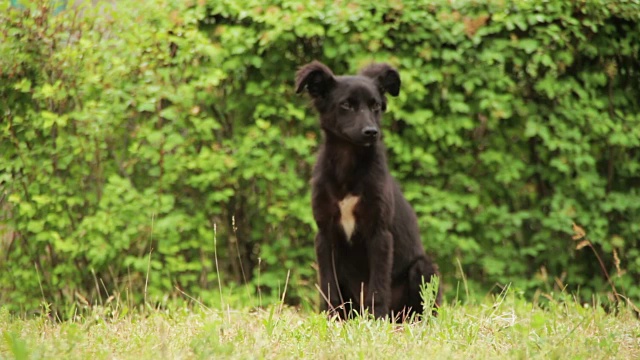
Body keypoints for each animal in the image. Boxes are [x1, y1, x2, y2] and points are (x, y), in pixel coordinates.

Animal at [296, 59, 440, 320]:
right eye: (346, 105)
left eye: (375, 106)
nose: (372, 132)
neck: (348, 166)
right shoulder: (325, 234)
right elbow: (328, 285)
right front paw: (332, 317)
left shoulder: (379, 232)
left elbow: (378, 286)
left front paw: (377, 319)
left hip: (423, 268)